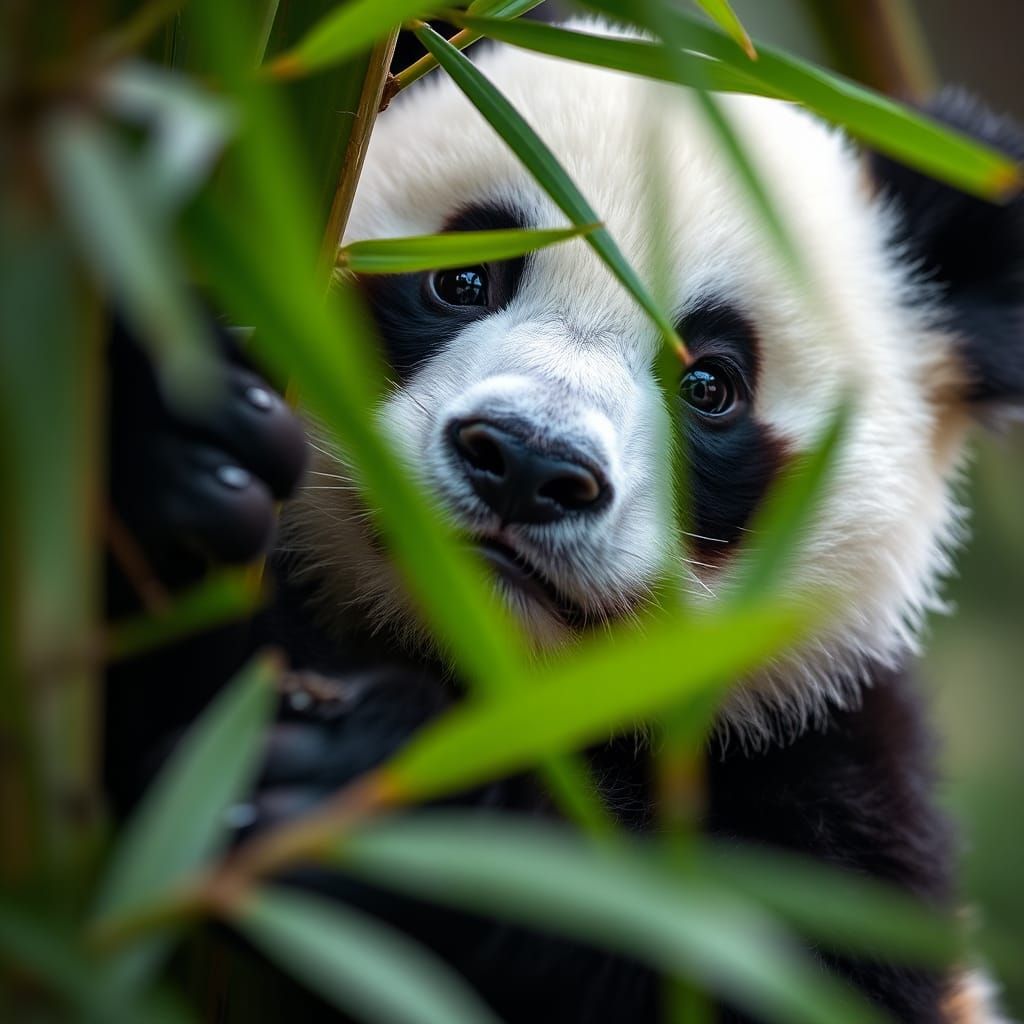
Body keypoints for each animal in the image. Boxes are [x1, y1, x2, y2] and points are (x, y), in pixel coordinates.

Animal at [105, 24, 1023, 1024]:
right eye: (462, 278)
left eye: (712, 385)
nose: (529, 463)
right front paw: (175, 440)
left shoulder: (831, 770)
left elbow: (759, 970)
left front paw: (372, 792)